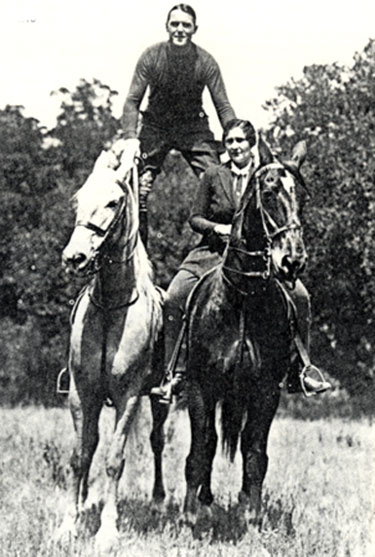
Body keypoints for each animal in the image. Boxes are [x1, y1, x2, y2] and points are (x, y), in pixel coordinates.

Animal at [184, 137, 308, 524]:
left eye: (302, 196)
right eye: (268, 192)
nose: (293, 261)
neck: (242, 298)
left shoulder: (266, 391)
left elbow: (255, 453)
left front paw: (251, 515)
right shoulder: (201, 387)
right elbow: (202, 447)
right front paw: (190, 515)